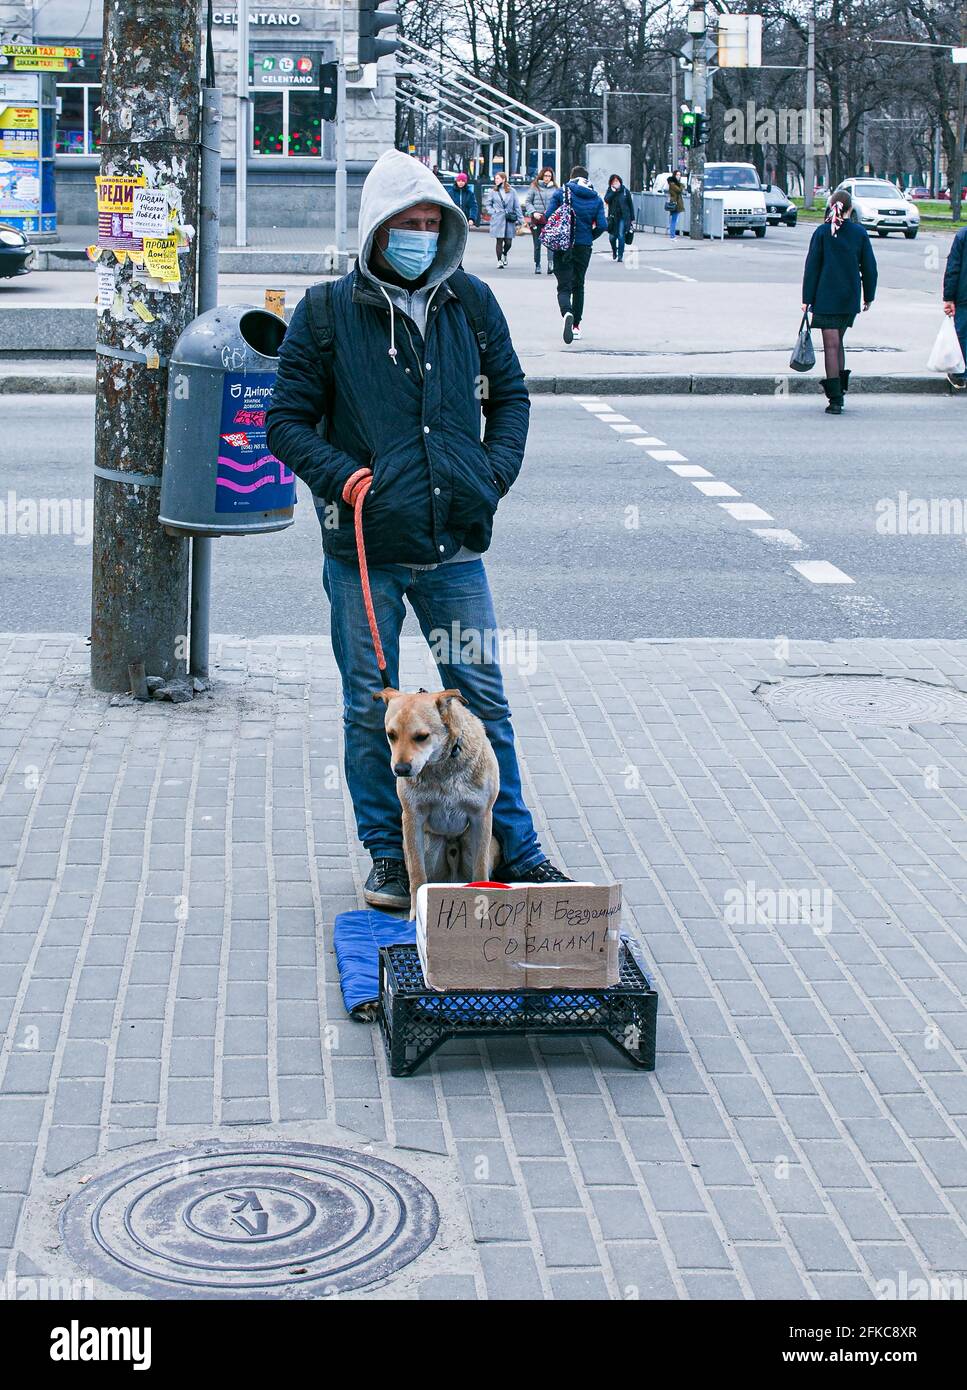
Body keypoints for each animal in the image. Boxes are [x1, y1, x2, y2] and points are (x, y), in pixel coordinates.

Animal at [375, 686, 502, 922]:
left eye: (422, 737)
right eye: (391, 735)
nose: (401, 769)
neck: (443, 765)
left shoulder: (481, 817)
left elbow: (480, 870)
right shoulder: (412, 818)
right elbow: (417, 874)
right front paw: (416, 914)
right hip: (428, 847)